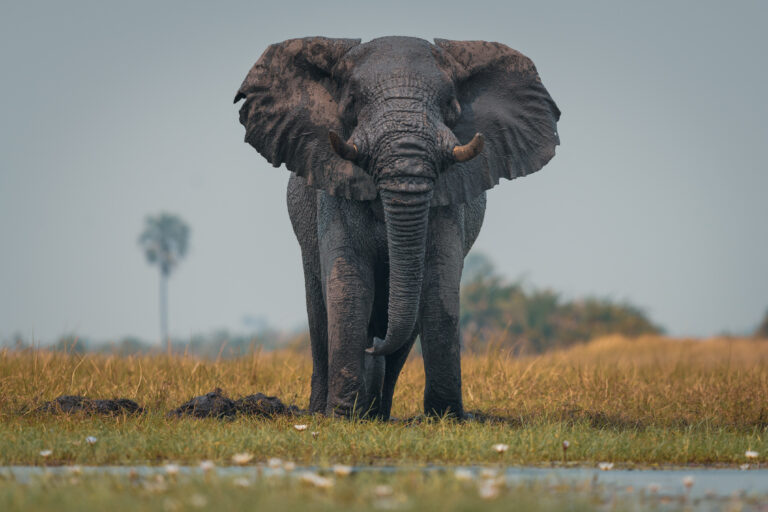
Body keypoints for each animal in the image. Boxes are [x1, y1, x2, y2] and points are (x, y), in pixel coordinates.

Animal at [234, 36, 560, 419]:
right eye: (353, 101)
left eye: (450, 104)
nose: (373, 345)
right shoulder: (333, 188)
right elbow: (348, 281)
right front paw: (342, 415)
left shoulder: (448, 200)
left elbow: (439, 283)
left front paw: (446, 417)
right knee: (319, 313)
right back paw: (327, 411)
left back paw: (379, 411)